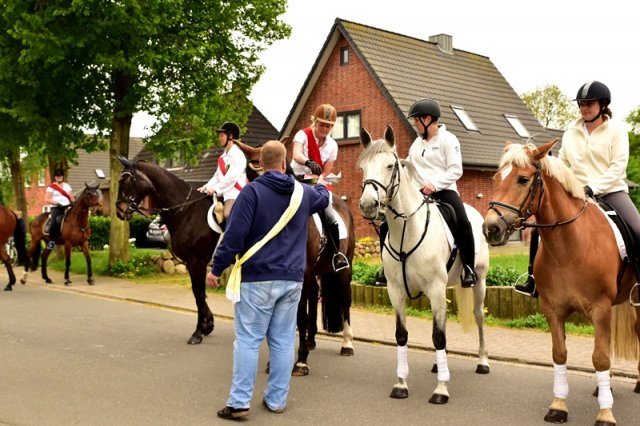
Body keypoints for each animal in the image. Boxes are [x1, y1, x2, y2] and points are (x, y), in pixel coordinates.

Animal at [116, 158, 221, 344]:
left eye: (126, 181)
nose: (119, 212)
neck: (187, 212)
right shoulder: (191, 264)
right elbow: (198, 293)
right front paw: (208, 324)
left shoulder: (197, 263)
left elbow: (199, 295)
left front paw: (198, 333)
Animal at [356, 125, 490, 402]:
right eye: (362, 167)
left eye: (390, 166)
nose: (368, 205)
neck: (407, 231)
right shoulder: (395, 291)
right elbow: (402, 335)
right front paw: (401, 385)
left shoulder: (435, 288)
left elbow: (438, 337)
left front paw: (441, 390)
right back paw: (440, 365)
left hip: (479, 281)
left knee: (479, 316)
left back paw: (482, 362)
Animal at [484, 139, 640, 422]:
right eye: (495, 178)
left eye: (523, 179)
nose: (491, 229)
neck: (569, 248)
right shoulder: (553, 309)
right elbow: (560, 354)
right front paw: (558, 405)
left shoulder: (599, 309)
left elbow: (600, 358)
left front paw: (605, 414)